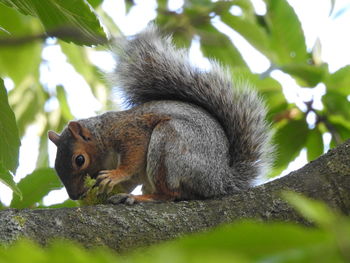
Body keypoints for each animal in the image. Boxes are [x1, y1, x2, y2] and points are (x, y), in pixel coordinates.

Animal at [47, 25, 272, 204]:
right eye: (56, 166)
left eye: (79, 160)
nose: (75, 196)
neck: (103, 135)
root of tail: (219, 181)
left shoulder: (131, 132)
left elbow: (132, 158)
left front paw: (114, 175)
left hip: (169, 145)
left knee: (170, 194)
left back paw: (139, 198)